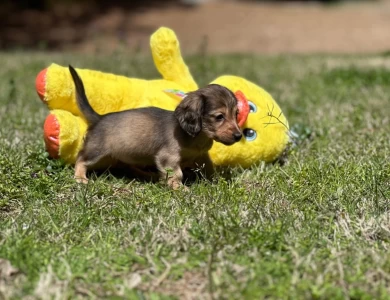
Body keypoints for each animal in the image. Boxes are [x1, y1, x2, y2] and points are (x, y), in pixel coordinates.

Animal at [68, 65, 242, 189]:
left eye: (236, 114)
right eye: (219, 117)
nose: (239, 136)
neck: (196, 137)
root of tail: (99, 118)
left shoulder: (201, 156)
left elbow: (210, 169)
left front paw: (218, 181)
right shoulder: (168, 157)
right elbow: (177, 173)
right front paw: (179, 188)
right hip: (96, 151)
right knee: (81, 159)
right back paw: (80, 177)